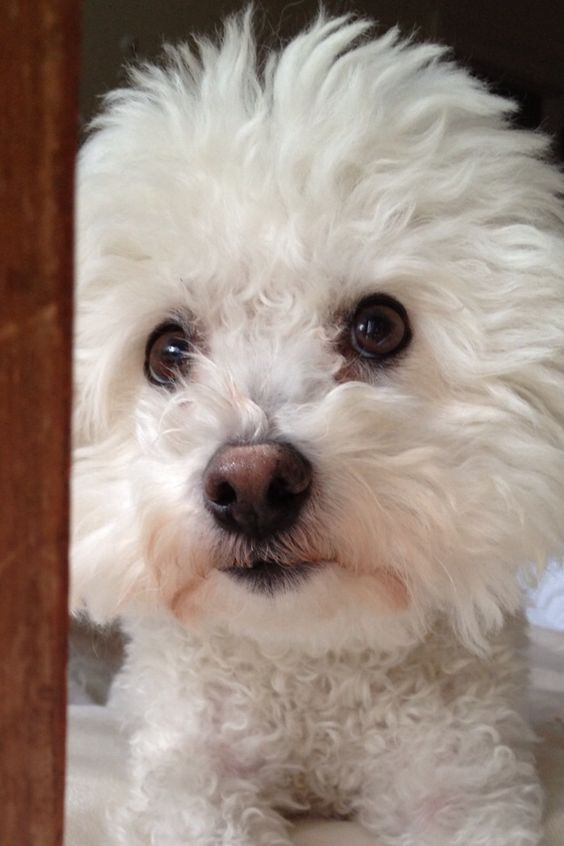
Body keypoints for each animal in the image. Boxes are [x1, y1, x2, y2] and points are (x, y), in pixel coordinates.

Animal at [72, 13, 564, 846]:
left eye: (378, 326)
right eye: (166, 351)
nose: (253, 485)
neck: (311, 663)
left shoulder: (463, 778)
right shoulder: (191, 769)